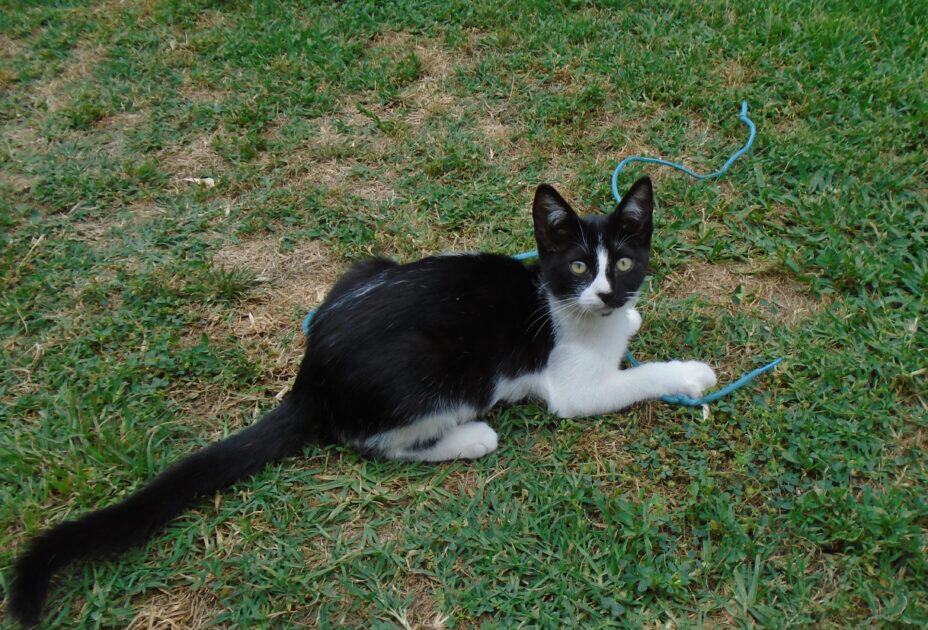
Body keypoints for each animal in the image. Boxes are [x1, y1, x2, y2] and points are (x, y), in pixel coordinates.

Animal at [9, 177, 716, 628]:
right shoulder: (573, 386)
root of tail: (310, 375)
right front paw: (691, 373)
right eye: (574, 267)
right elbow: (625, 380)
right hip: (437, 372)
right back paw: (470, 439)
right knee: (371, 439)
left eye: (621, 263)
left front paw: (636, 320)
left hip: (365, 266)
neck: (562, 306)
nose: (605, 295)